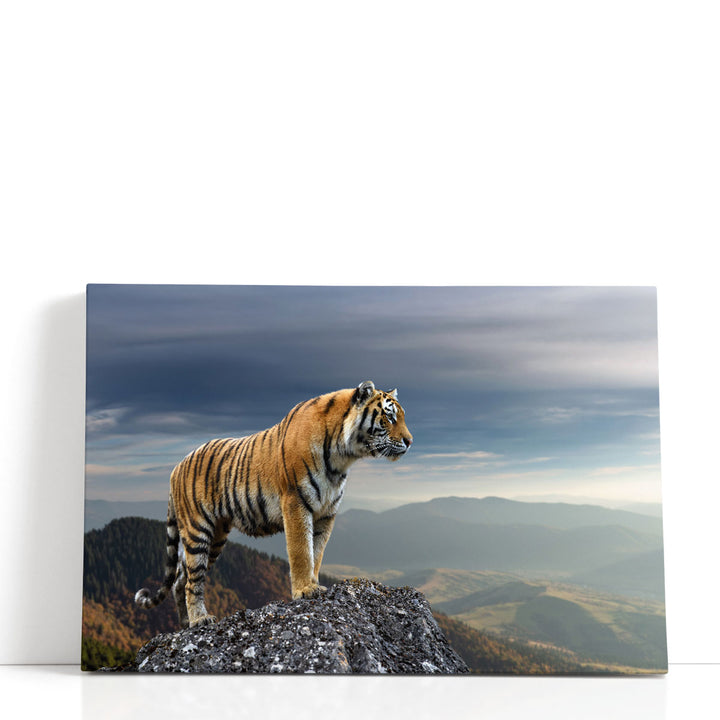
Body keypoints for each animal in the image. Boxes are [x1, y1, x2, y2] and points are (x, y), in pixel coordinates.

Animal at [135, 380, 413, 628]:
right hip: (197, 531)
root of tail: (175, 467)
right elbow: (301, 551)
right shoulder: (296, 502)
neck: (342, 457)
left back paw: (184, 624)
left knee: (180, 580)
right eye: (389, 417)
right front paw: (305, 590)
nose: (410, 441)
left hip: (216, 537)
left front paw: (314, 583)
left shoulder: (326, 513)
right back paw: (200, 620)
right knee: (193, 581)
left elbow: (317, 552)